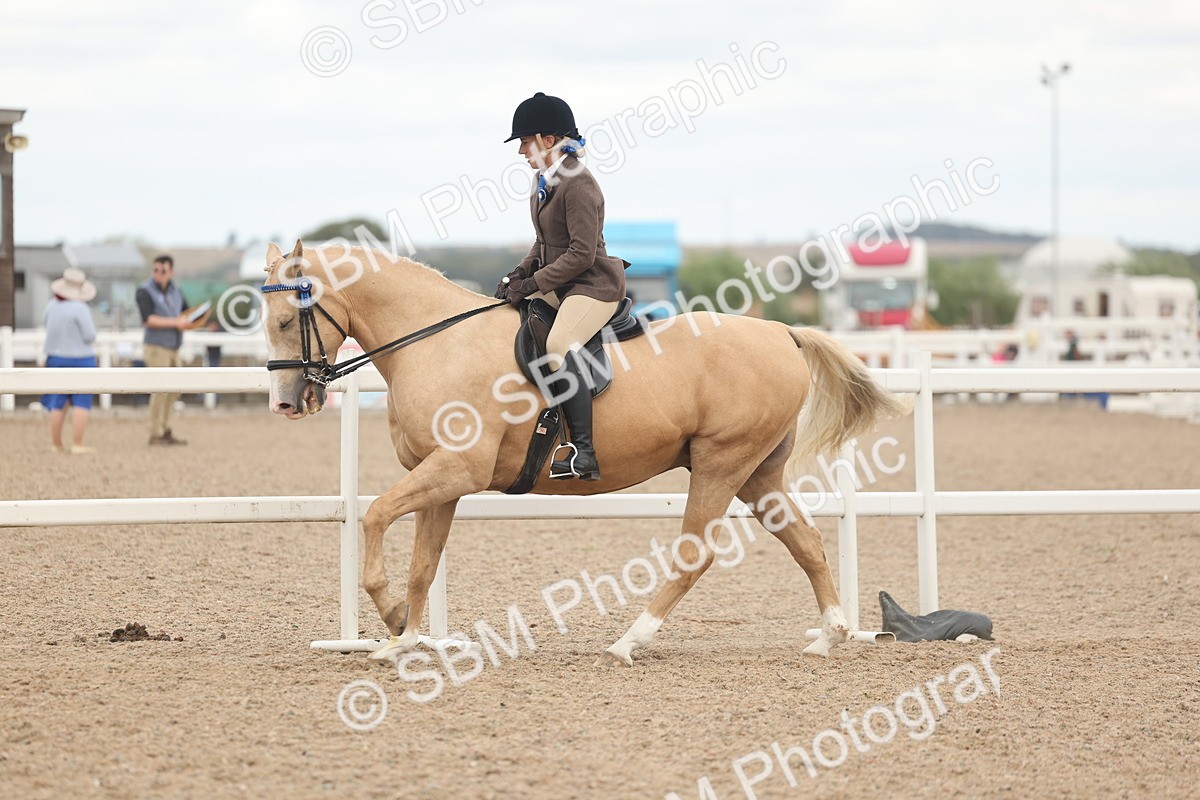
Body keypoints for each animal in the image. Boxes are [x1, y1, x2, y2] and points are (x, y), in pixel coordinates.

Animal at [259, 240, 909, 666]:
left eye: (289, 319)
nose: (288, 402)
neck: (437, 342)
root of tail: (782, 333)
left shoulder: (455, 468)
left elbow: (372, 516)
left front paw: (393, 625)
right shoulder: (441, 478)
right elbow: (423, 564)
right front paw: (407, 637)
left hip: (722, 463)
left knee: (694, 553)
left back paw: (629, 642)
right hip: (758, 473)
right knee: (806, 541)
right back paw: (830, 635)